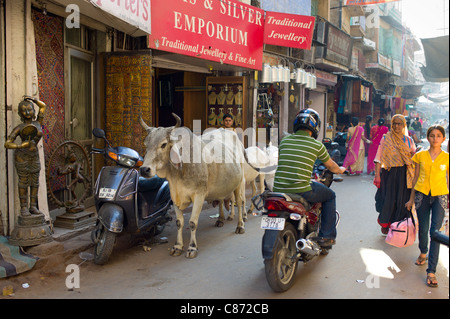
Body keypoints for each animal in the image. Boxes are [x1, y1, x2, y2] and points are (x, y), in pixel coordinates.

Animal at [141, 115, 246, 260]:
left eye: (163, 144)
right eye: (146, 145)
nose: (144, 169)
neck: (178, 172)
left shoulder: (199, 195)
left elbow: (192, 222)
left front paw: (192, 247)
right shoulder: (175, 197)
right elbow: (179, 222)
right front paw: (177, 246)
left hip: (239, 183)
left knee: (240, 203)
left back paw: (240, 226)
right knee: (220, 200)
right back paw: (220, 219)